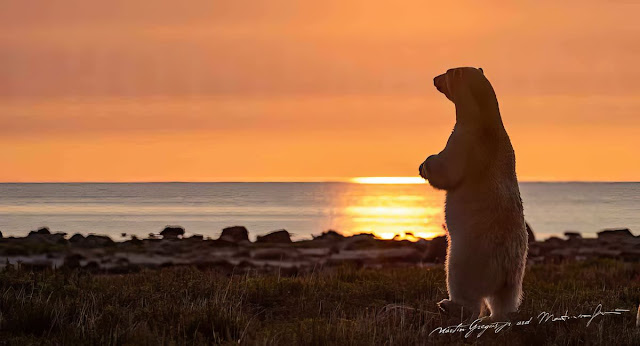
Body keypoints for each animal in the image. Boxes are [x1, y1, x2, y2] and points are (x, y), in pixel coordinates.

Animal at [418, 67, 528, 322]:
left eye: (446, 73)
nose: (434, 79)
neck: (486, 119)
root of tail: (505, 267)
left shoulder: (465, 138)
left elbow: (448, 169)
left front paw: (425, 165)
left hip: (470, 257)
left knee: (461, 283)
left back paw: (449, 305)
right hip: (517, 273)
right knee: (505, 297)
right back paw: (496, 315)